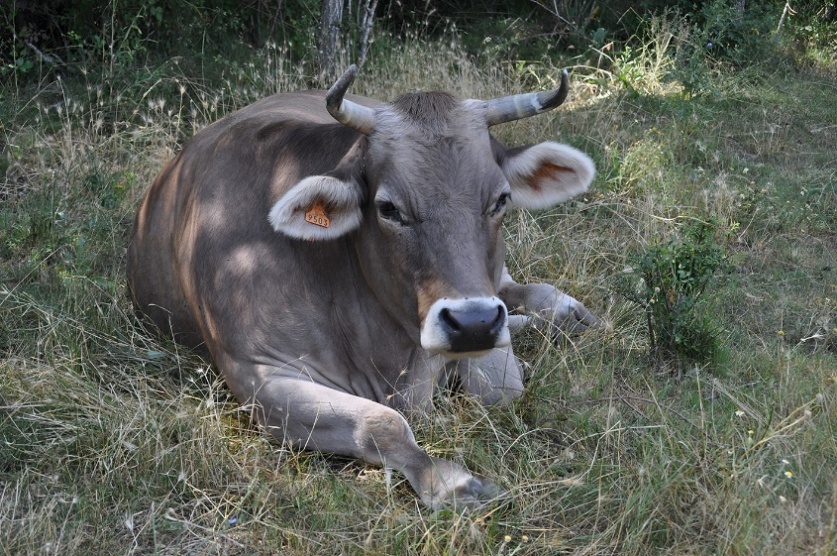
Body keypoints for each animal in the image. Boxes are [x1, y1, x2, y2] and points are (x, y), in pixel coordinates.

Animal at [127, 65, 597, 510]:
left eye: (501, 199)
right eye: (388, 209)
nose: (474, 323)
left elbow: (500, 391)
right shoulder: (259, 375)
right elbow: (381, 423)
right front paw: (451, 482)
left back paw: (564, 313)